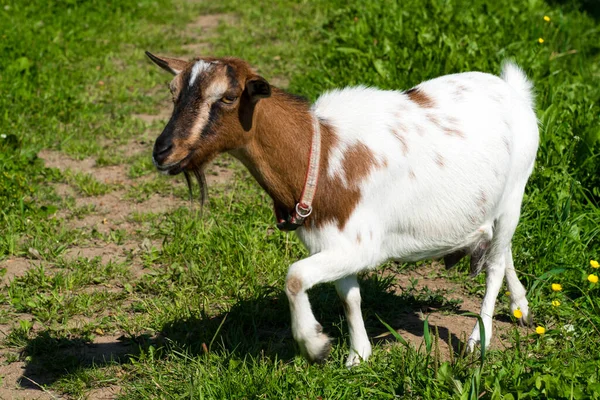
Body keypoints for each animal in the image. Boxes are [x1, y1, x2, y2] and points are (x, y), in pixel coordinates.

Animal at [146, 51, 540, 368]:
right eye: (173, 91)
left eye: (228, 97)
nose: (163, 151)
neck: (321, 155)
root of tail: (513, 89)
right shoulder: (332, 242)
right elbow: (348, 296)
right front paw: (357, 356)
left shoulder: (362, 246)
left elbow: (294, 277)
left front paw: (314, 345)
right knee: (502, 251)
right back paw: (521, 308)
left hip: (515, 191)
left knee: (494, 266)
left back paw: (478, 340)